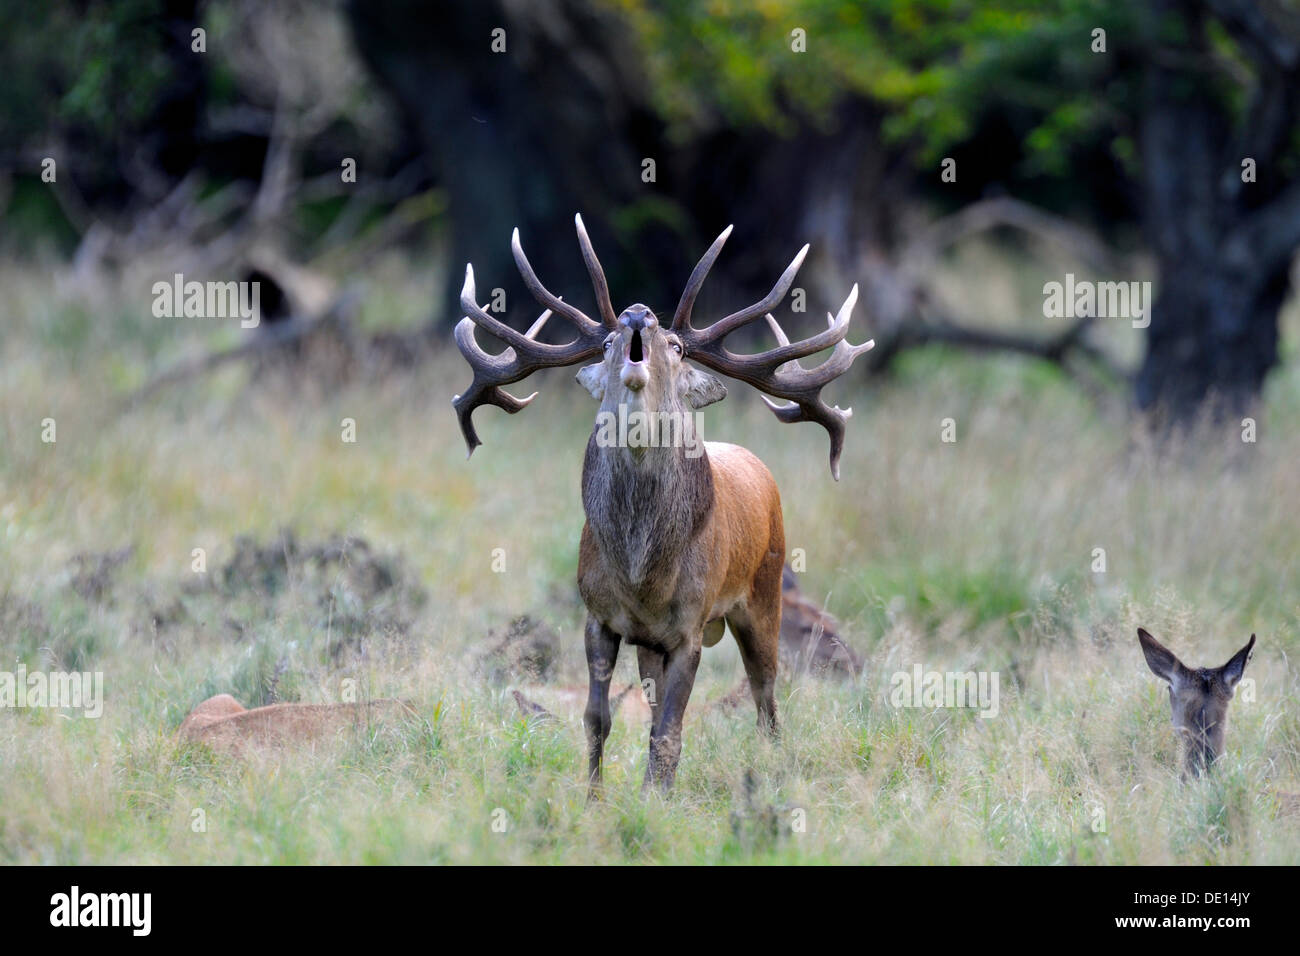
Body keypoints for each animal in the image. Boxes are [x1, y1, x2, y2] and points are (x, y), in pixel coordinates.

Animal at [452, 217, 868, 790]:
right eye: (606, 341)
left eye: (676, 345)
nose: (637, 313)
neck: (641, 573)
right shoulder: (599, 616)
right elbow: (598, 719)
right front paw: (596, 796)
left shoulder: (690, 625)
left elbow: (671, 731)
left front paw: (656, 798)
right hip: (653, 644)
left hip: (765, 594)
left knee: (766, 697)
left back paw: (770, 766)